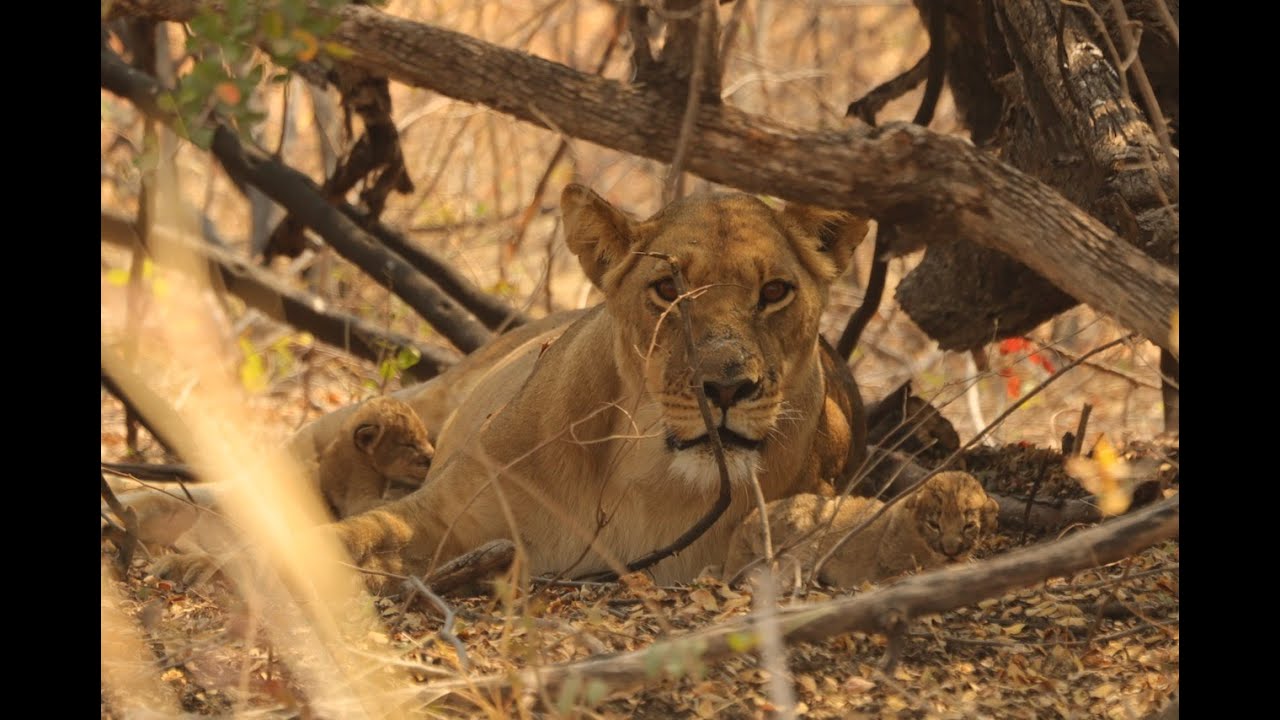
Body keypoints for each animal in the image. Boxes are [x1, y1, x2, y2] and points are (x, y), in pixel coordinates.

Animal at [300, 184, 870, 586]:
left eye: (774, 292)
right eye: (667, 289)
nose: (726, 388)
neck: (651, 477)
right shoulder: (440, 512)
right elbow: (350, 538)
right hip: (430, 397)